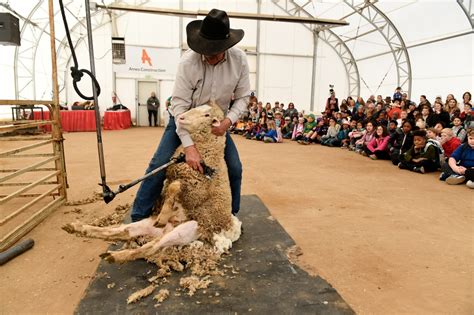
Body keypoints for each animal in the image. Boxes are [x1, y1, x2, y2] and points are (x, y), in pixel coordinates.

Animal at [62, 102, 241, 262]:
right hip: (147, 224)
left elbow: (175, 186)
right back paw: (78, 228)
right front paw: (163, 212)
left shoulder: (196, 192)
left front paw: (163, 215)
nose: (181, 118)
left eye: (206, 115)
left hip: (186, 230)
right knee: (123, 231)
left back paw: (116, 256)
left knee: (150, 248)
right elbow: (172, 186)